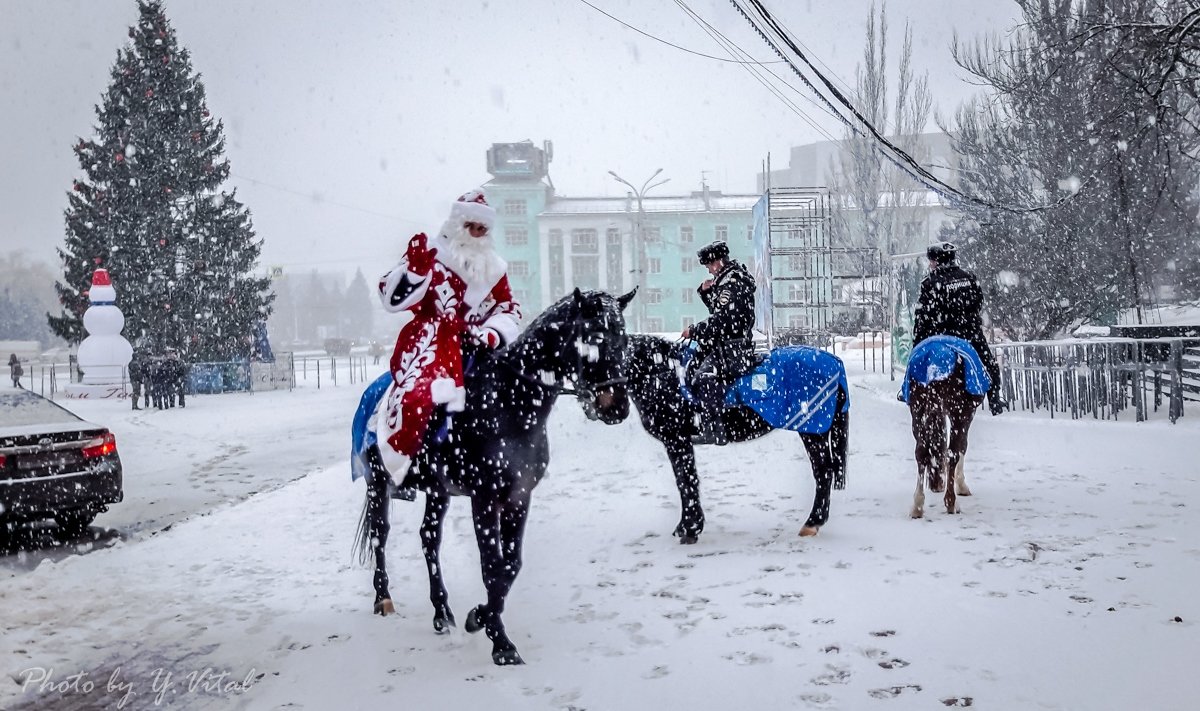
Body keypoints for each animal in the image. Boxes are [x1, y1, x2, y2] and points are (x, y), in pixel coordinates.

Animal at [352, 288, 638, 667]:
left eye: (624, 340)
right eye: (594, 338)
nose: (616, 406)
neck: (508, 403)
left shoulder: (519, 496)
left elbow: (510, 565)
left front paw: (479, 617)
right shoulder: (484, 499)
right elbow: (492, 565)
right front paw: (499, 641)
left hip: (438, 492)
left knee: (429, 538)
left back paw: (442, 612)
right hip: (377, 482)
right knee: (379, 534)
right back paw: (382, 598)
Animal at [619, 336, 854, 540]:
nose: (616, 410)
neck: (664, 375)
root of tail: (832, 360)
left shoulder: (676, 440)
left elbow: (685, 481)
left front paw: (689, 527)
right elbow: (687, 479)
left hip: (813, 430)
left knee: (823, 471)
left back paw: (813, 522)